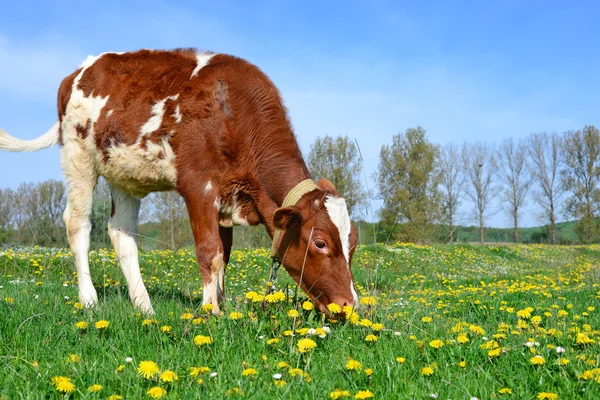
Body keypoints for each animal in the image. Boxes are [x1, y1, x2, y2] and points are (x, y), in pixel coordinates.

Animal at [0, 48, 358, 314]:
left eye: (353, 242)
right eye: (320, 242)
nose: (349, 305)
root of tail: (82, 68)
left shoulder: (227, 196)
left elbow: (225, 254)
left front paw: (222, 304)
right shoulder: (199, 186)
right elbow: (209, 251)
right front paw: (210, 311)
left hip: (123, 174)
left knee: (121, 232)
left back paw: (144, 306)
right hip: (78, 156)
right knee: (78, 224)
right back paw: (89, 300)